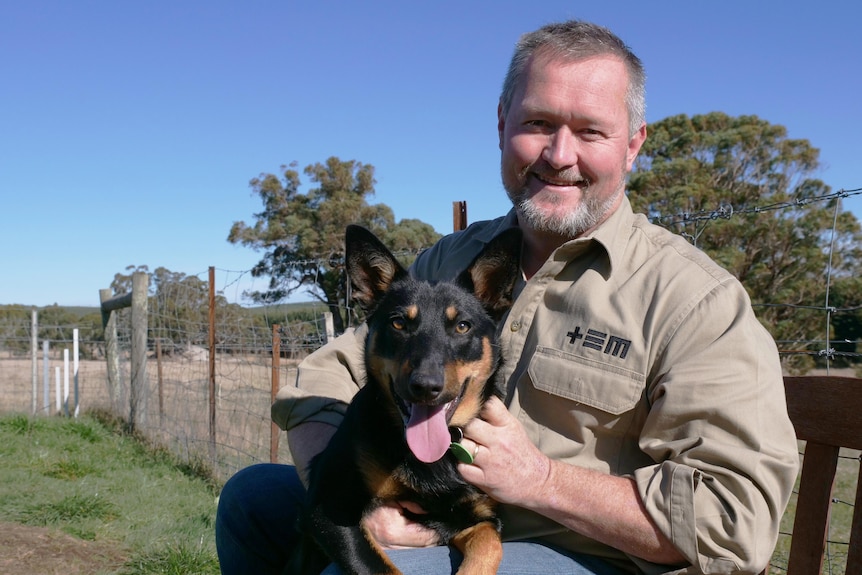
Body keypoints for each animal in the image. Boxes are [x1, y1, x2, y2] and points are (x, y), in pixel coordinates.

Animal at [288, 225, 520, 575]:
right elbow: (382, 569)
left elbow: (488, 543)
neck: (433, 460)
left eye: (462, 326)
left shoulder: (474, 518)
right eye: (398, 323)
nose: (425, 386)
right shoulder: (329, 512)